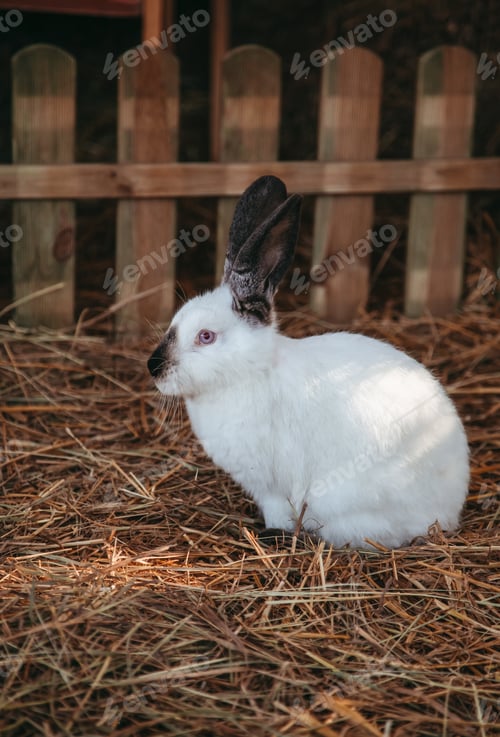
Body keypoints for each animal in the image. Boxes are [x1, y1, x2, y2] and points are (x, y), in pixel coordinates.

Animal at [148, 175, 469, 549]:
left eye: (206, 336)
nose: (153, 368)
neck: (251, 371)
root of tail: (449, 514)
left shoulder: (272, 489)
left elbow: (277, 510)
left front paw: (270, 530)